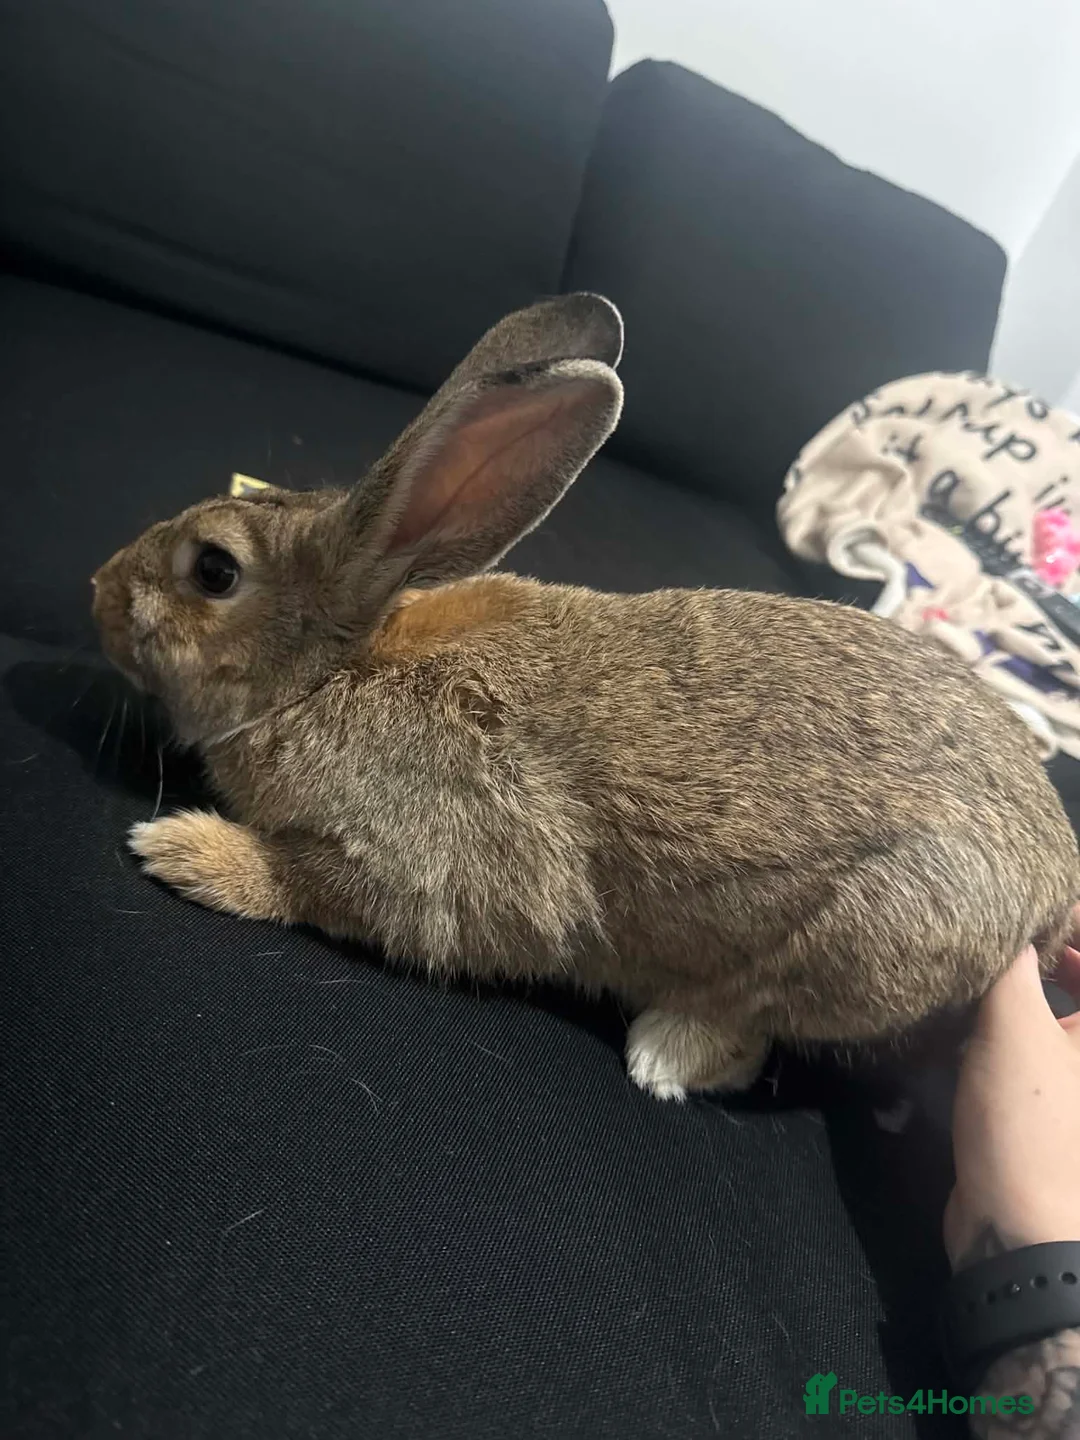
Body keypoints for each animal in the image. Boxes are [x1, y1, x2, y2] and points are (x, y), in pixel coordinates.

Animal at [92, 293, 1080, 1101]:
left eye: (214, 572)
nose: (97, 592)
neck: (333, 671)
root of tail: (1053, 885)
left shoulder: (426, 866)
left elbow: (310, 883)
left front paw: (181, 849)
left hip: (856, 941)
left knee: (748, 1025)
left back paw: (662, 1057)